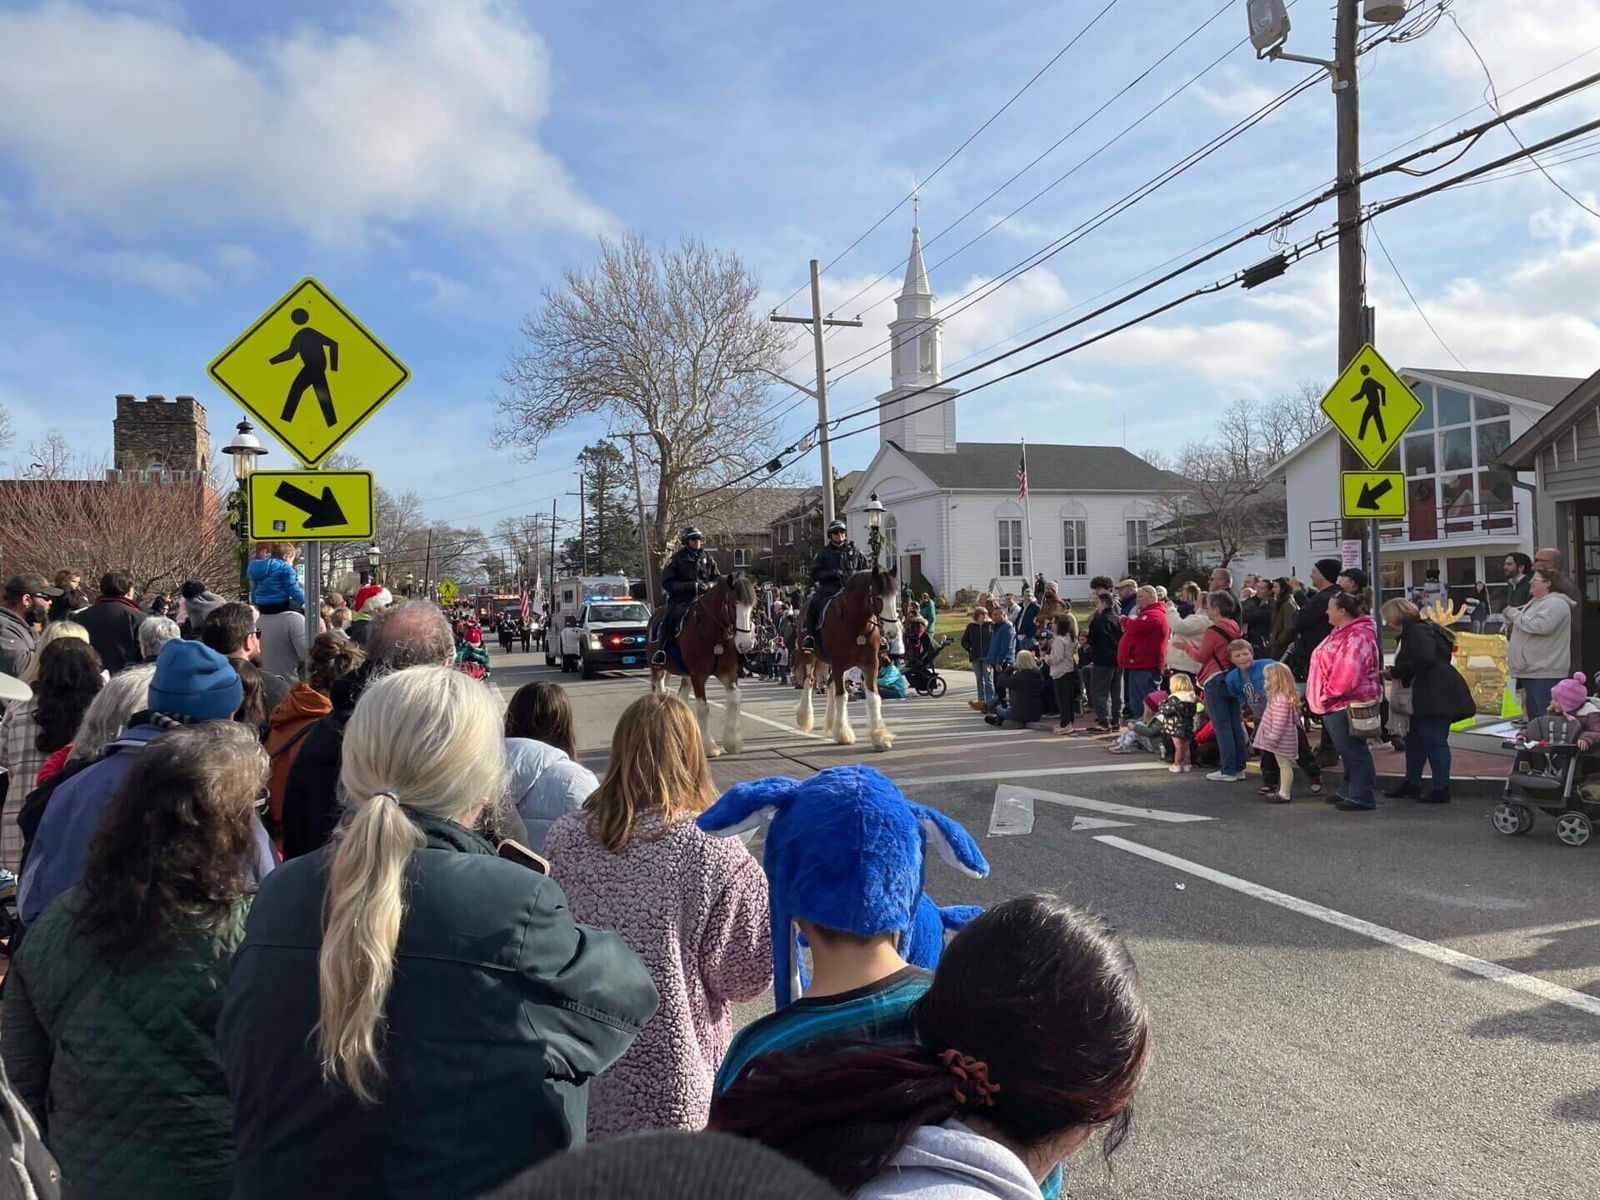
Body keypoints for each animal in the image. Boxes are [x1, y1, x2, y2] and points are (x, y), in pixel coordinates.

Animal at [643, 576, 755, 761]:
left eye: (753, 605)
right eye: (733, 604)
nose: (745, 644)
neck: (713, 635)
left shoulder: (727, 672)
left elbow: (735, 698)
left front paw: (732, 742)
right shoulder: (698, 675)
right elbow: (704, 708)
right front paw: (709, 746)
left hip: (685, 675)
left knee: (681, 697)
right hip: (658, 669)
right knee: (660, 693)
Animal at [796, 563, 902, 752]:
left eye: (895, 595)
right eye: (877, 596)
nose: (892, 632)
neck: (855, 624)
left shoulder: (871, 664)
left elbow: (873, 698)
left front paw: (880, 737)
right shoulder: (839, 664)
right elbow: (842, 696)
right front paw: (843, 734)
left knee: (830, 684)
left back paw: (831, 723)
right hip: (810, 658)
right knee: (809, 682)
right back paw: (805, 718)